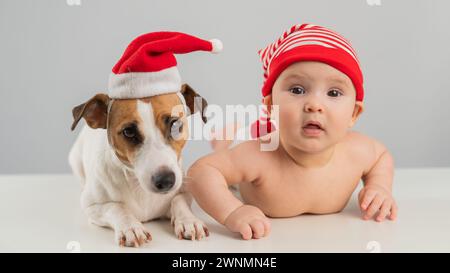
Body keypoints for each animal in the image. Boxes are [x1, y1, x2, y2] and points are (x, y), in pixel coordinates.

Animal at [68, 83, 209, 246]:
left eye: (175, 124)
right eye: (128, 131)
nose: (166, 181)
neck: (139, 186)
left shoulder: (184, 190)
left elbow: (179, 199)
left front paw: (188, 220)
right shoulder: (92, 206)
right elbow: (116, 207)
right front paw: (130, 227)